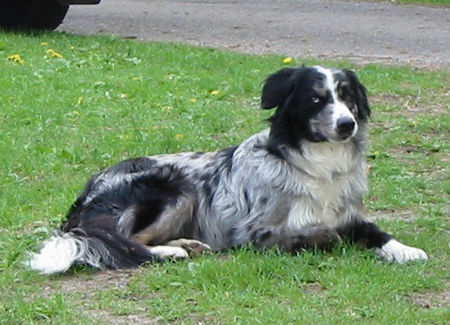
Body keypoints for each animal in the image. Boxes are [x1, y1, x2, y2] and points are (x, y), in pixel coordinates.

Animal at [28, 66, 428, 274]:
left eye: (347, 97)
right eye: (317, 99)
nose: (347, 125)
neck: (316, 163)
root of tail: (87, 195)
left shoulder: (347, 213)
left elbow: (373, 231)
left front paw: (405, 250)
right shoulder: (259, 234)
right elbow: (323, 236)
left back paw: (187, 244)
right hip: (174, 188)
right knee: (128, 242)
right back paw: (172, 252)